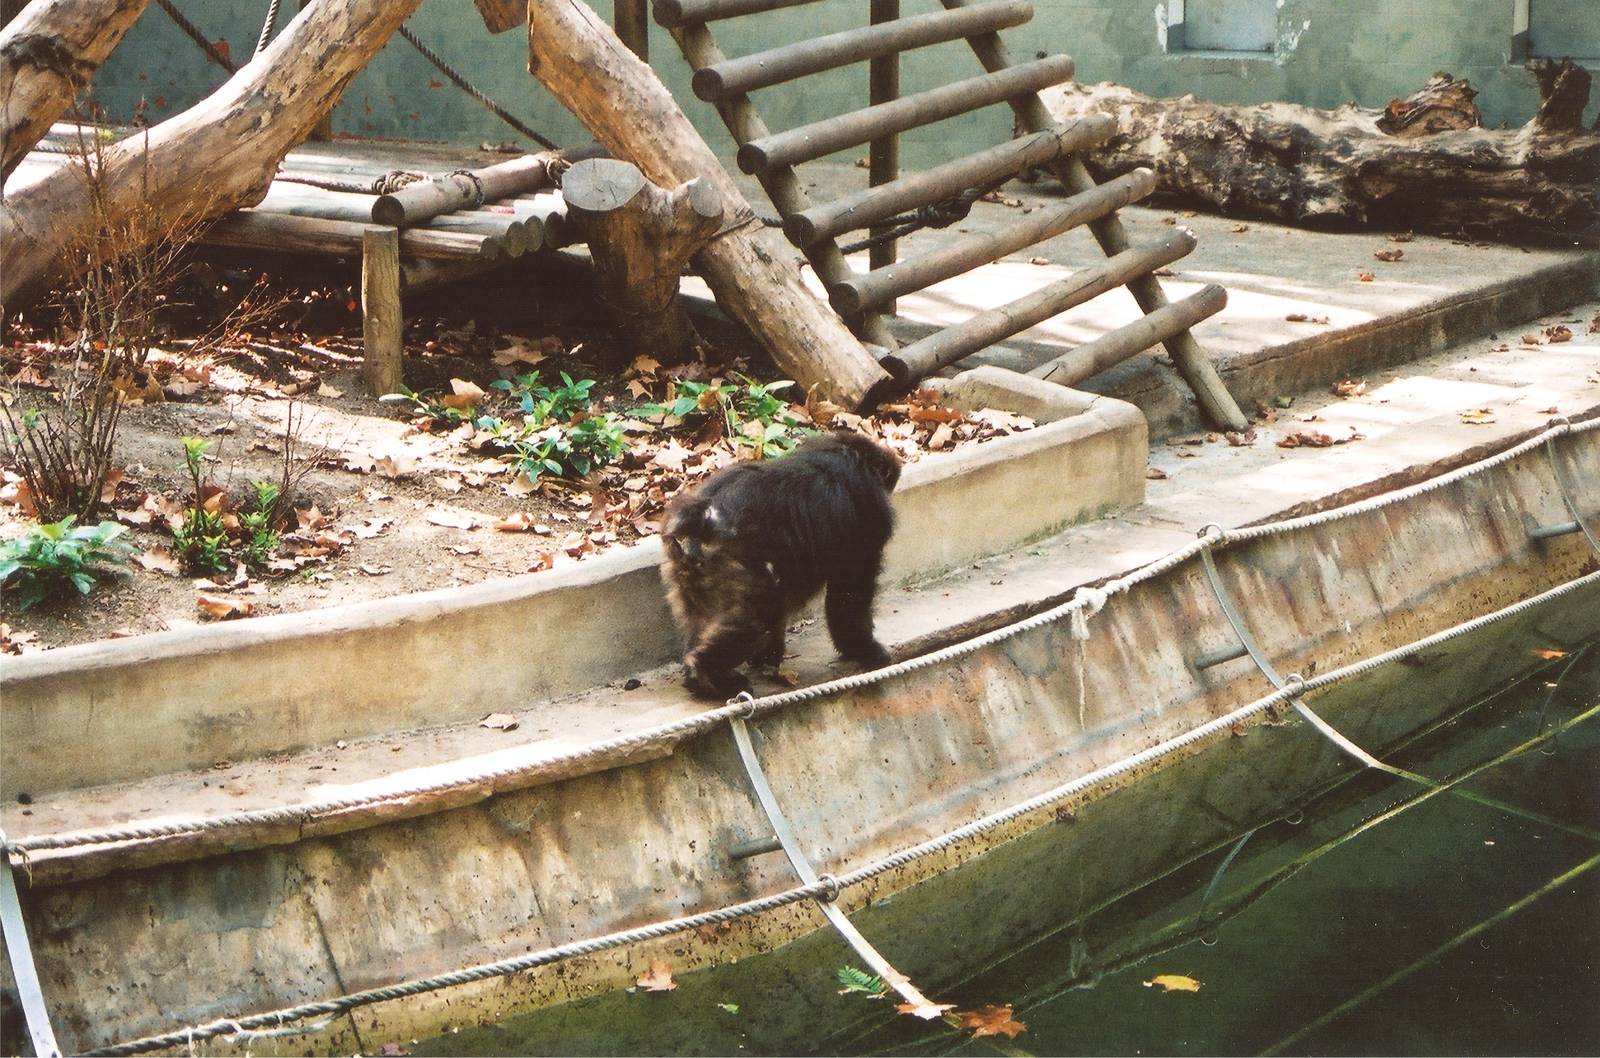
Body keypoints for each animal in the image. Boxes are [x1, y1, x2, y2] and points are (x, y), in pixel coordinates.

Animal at [660, 431, 901, 700]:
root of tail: (700, 516)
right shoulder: (869, 517)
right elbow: (851, 594)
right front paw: (865, 649)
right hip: (737, 570)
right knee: (759, 613)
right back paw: (711, 675)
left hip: (684, 570)